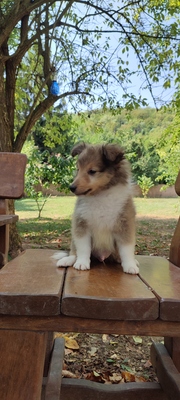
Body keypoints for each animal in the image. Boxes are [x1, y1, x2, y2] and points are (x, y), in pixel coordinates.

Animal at [53, 141, 139, 276]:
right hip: (73, 237)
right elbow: (83, 248)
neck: (100, 194)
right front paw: (81, 263)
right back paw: (67, 260)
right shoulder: (81, 224)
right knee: (74, 252)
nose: (71, 187)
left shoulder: (125, 225)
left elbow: (127, 249)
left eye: (92, 171)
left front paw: (130, 266)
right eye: (78, 169)